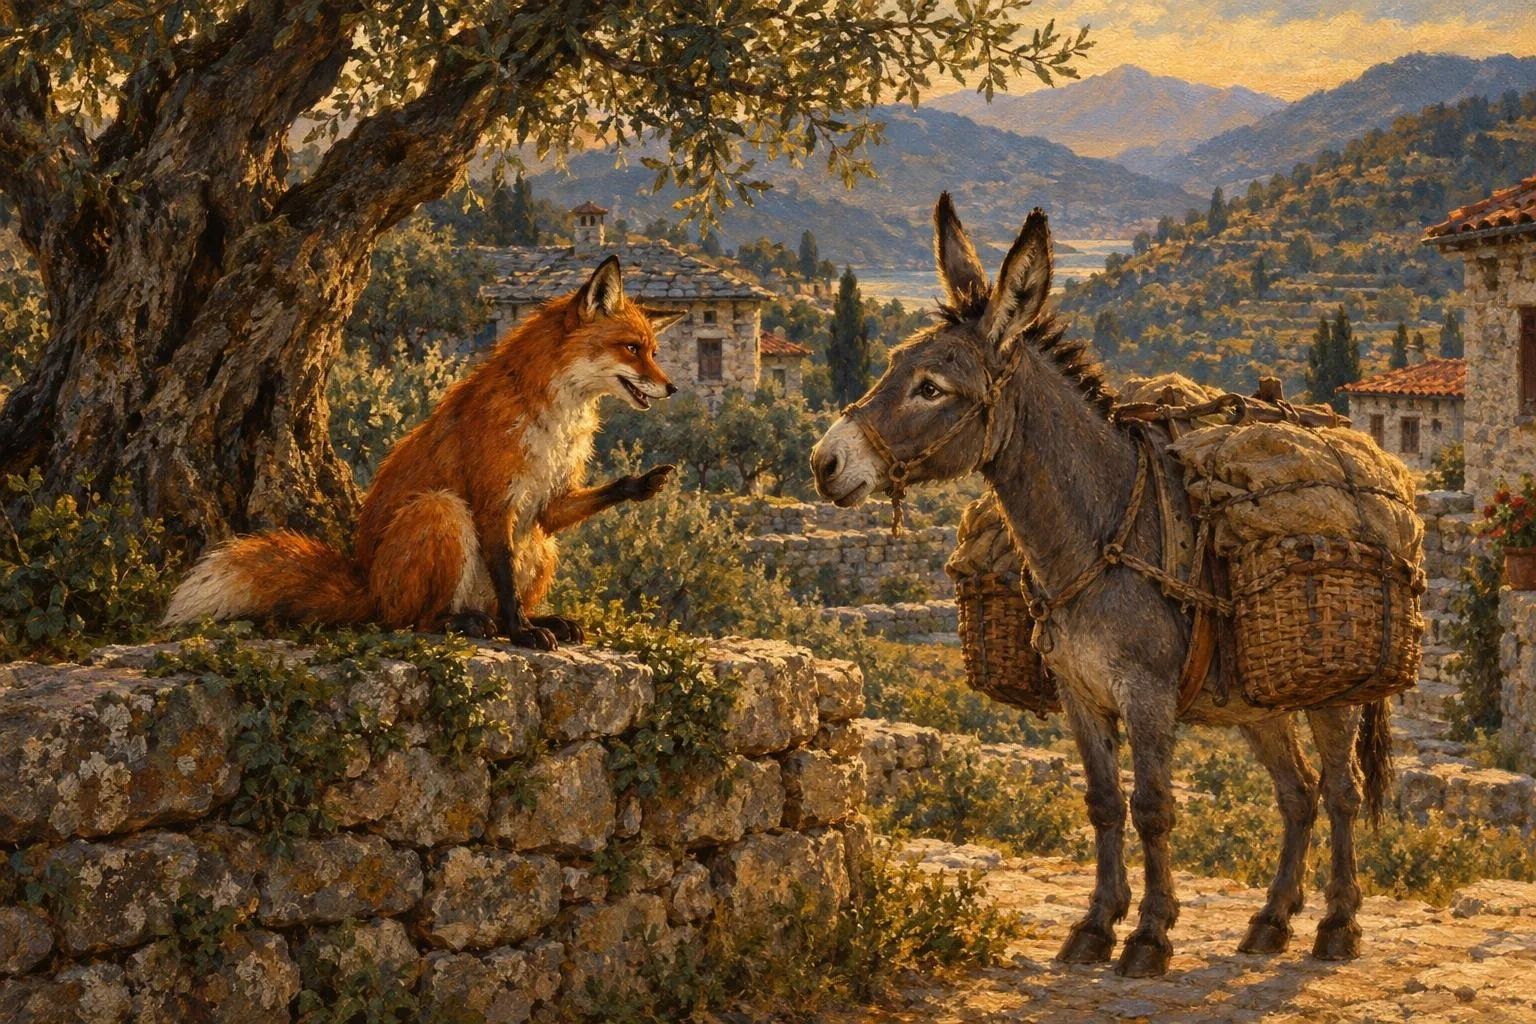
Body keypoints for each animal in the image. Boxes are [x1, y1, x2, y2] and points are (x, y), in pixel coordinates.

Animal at [162, 255, 681, 650]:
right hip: (440, 511)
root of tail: (368, 585)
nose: (672, 388)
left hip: (540, 544)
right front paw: (521, 634)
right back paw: (468, 623)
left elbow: (565, 517)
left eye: (654, 351)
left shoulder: (547, 503)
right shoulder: (494, 501)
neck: (557, 419)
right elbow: (506, 581)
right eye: (632, 348)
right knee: (410, 619)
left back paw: (542, 620)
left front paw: (643, 484)